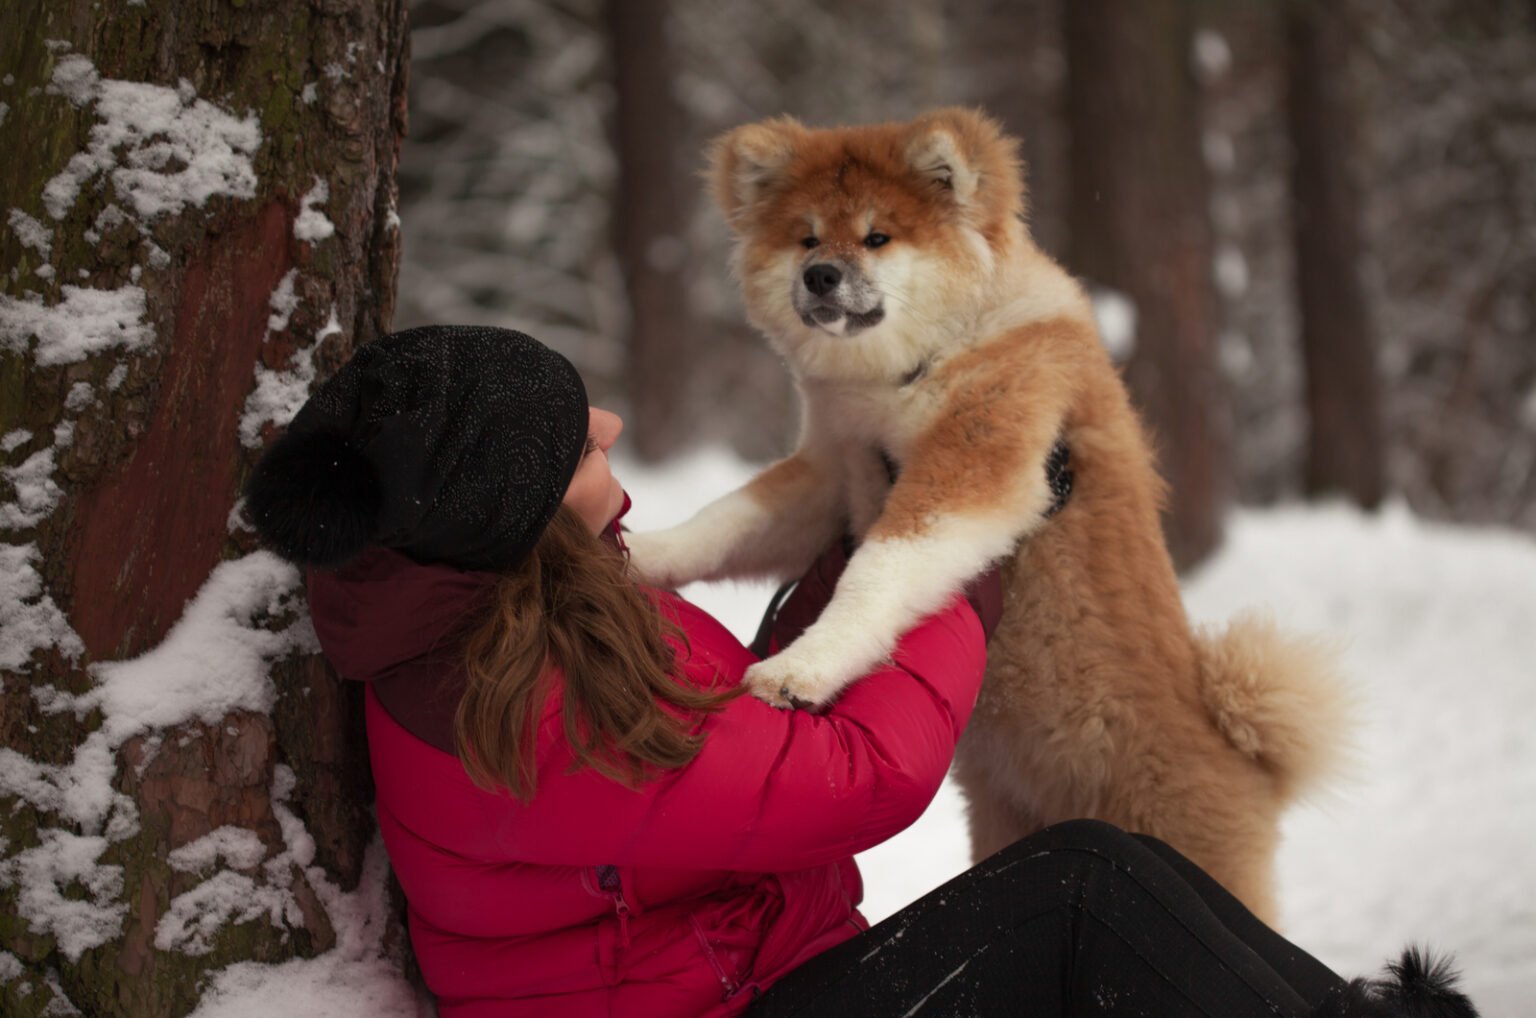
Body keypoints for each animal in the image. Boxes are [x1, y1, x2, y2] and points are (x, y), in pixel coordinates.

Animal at [623, 107, 1345, 921]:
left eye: (877, 236)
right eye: (805, 238)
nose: (819, 276)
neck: (916, 367)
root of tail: (1248, 769)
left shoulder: (972, 463)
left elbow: (877, 572)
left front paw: (801, 665)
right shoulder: (833, 473)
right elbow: (723, 523)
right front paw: (640, 550)